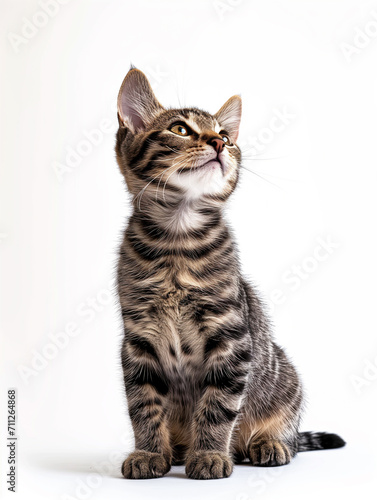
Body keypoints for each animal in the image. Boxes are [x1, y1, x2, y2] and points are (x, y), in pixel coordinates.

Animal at [114, 67, 344, 480]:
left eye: (225, 134)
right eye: (180, 129)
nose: (220, 143)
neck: (177, 242)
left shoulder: (232, 338)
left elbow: (218, 406)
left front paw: (208, 454)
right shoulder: (138, 340)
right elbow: (143, 404)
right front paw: (149, 452)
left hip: (285, 377)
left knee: (287, 432)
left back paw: (266, 444)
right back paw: (177, 450)